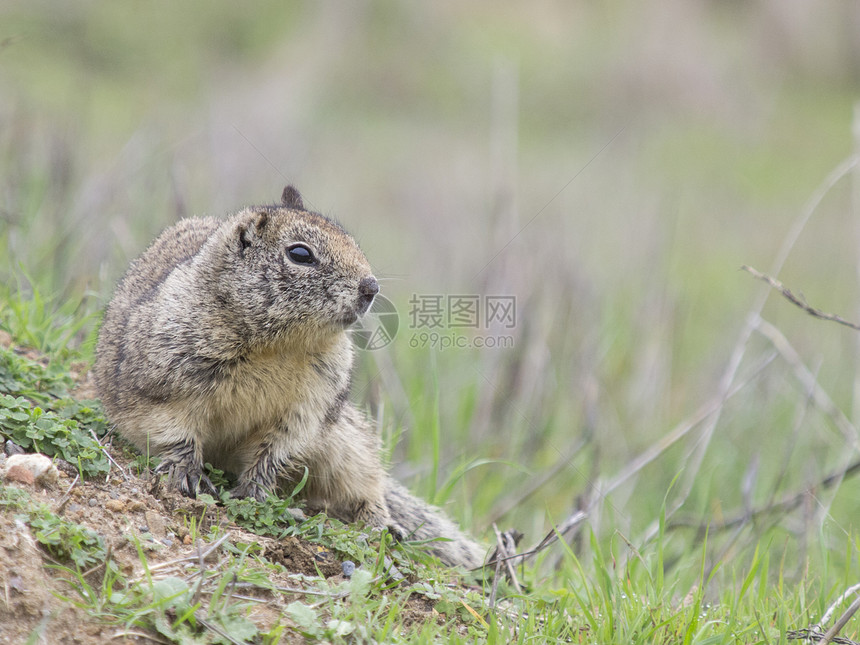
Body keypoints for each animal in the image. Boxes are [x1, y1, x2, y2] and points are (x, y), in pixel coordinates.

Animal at [95, 186, 484, 568]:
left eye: (351, 241)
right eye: (300, 254)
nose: (370, 288)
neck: (278, 346)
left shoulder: (307, 406)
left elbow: (276, 450)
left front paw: (253, 492)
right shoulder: (165, 380)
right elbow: (173, 431)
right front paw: (188, 475)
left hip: (347, 445)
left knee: (367, 486)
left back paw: (383, 525)